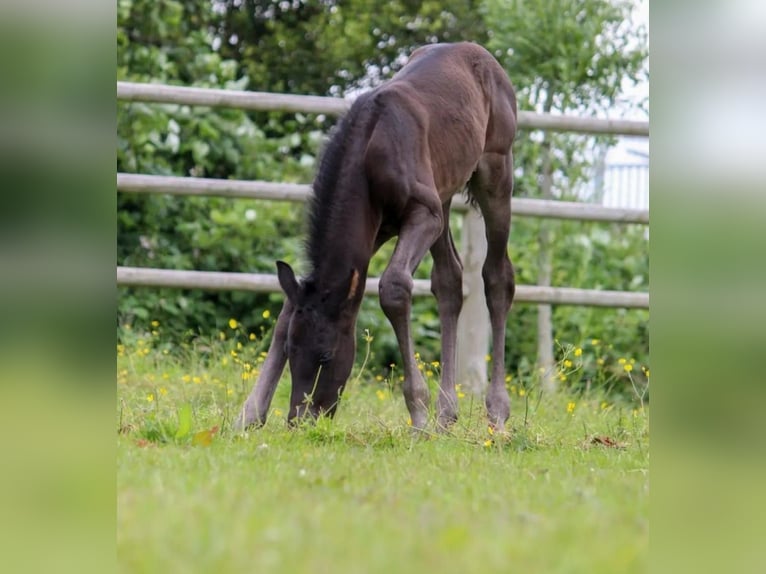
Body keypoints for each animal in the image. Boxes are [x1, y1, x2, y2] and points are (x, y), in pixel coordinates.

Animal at [237, 44, 520, 432]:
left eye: (326, 355)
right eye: (291, 350)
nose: (301, 420)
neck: (371, 147)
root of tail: (482, 54)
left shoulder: (422, 214)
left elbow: (394, 288)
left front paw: (418, 416)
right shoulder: (375, 231)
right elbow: (286, 310)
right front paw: (250, 415)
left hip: (495, 170)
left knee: (497, 277)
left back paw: (497, 414)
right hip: (445, 193)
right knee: (449, 281)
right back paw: (447, 416)